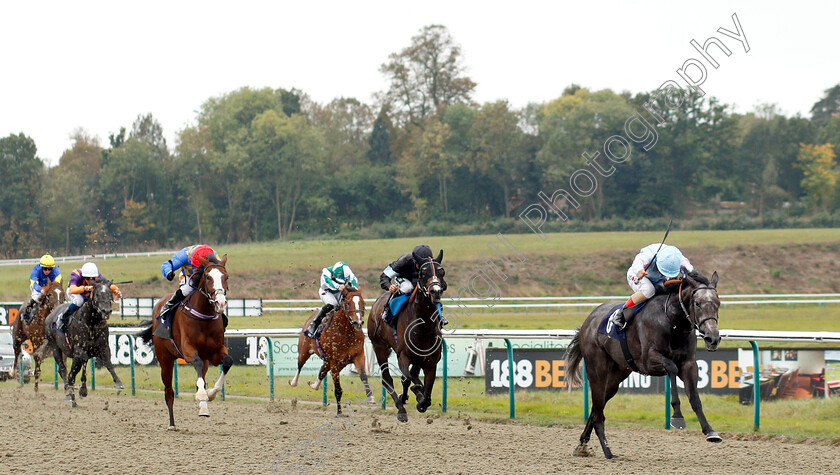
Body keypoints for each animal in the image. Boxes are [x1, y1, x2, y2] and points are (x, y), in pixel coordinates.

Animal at [45, 278, 124, 406]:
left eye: (110, 294)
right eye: (97, 294)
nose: (106, 311)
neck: (92, 322)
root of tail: (50, 315)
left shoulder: (103, 347)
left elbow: (108, 363)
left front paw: (118, 382)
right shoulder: (79, 350)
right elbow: (82, 362)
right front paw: (81, 389)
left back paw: (73, 398)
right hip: (55, 348)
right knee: (63, 369)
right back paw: (69, 392)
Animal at [138, 256, 230, 432]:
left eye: (226, 277)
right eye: (208, 277)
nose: (220, 303)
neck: (204, 316)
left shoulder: (215, 352)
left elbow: (227, 362)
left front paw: (210, 395)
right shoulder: (188, 350)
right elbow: (196, 363)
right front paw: (202, 395)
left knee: (201, 376)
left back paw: (203, 406)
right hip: (165, 360)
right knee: (169, 392)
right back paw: (172, 424)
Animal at [368, 251, 446, 422]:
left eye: (442, 271)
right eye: (423, 272)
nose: (435, 291)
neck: (423, 326)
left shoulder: (431, 361)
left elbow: (426, 391)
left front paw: (421, 400)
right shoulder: (403, 355)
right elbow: (406, 380)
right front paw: (405, 399)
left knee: (413, 375)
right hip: (379, 346)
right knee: (387, 379)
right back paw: (401, 408)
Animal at [564, 270, 720, 460]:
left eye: (718, 303)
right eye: (697, 303)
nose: (713, 338)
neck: (672, 320)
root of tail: (587, 322)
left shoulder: (689, 364)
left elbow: (695, 398)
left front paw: (710, 431)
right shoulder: (648, 361)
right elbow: (671, 367)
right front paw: (677, 416)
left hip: (615, 378)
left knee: (596, 409)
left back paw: (582, 445)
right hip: (597, 371)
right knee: (598, 412)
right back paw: (608, 451)